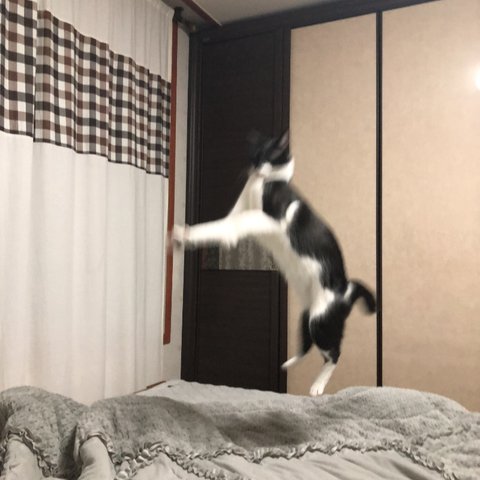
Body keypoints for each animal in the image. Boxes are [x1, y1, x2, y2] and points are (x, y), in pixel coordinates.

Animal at [172, 130, 376, 396]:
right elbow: (217, 226)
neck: (263, 183)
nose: (257, 167)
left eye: (268, 154)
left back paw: (317, 386)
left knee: (334, 353)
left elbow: (239, 222)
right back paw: (288, 363)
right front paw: (185, 235)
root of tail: (347, 288)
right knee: (308, 345)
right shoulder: (235, 213)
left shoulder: (272, 217)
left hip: (321, 318)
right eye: (254, 153)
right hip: (306, 315)